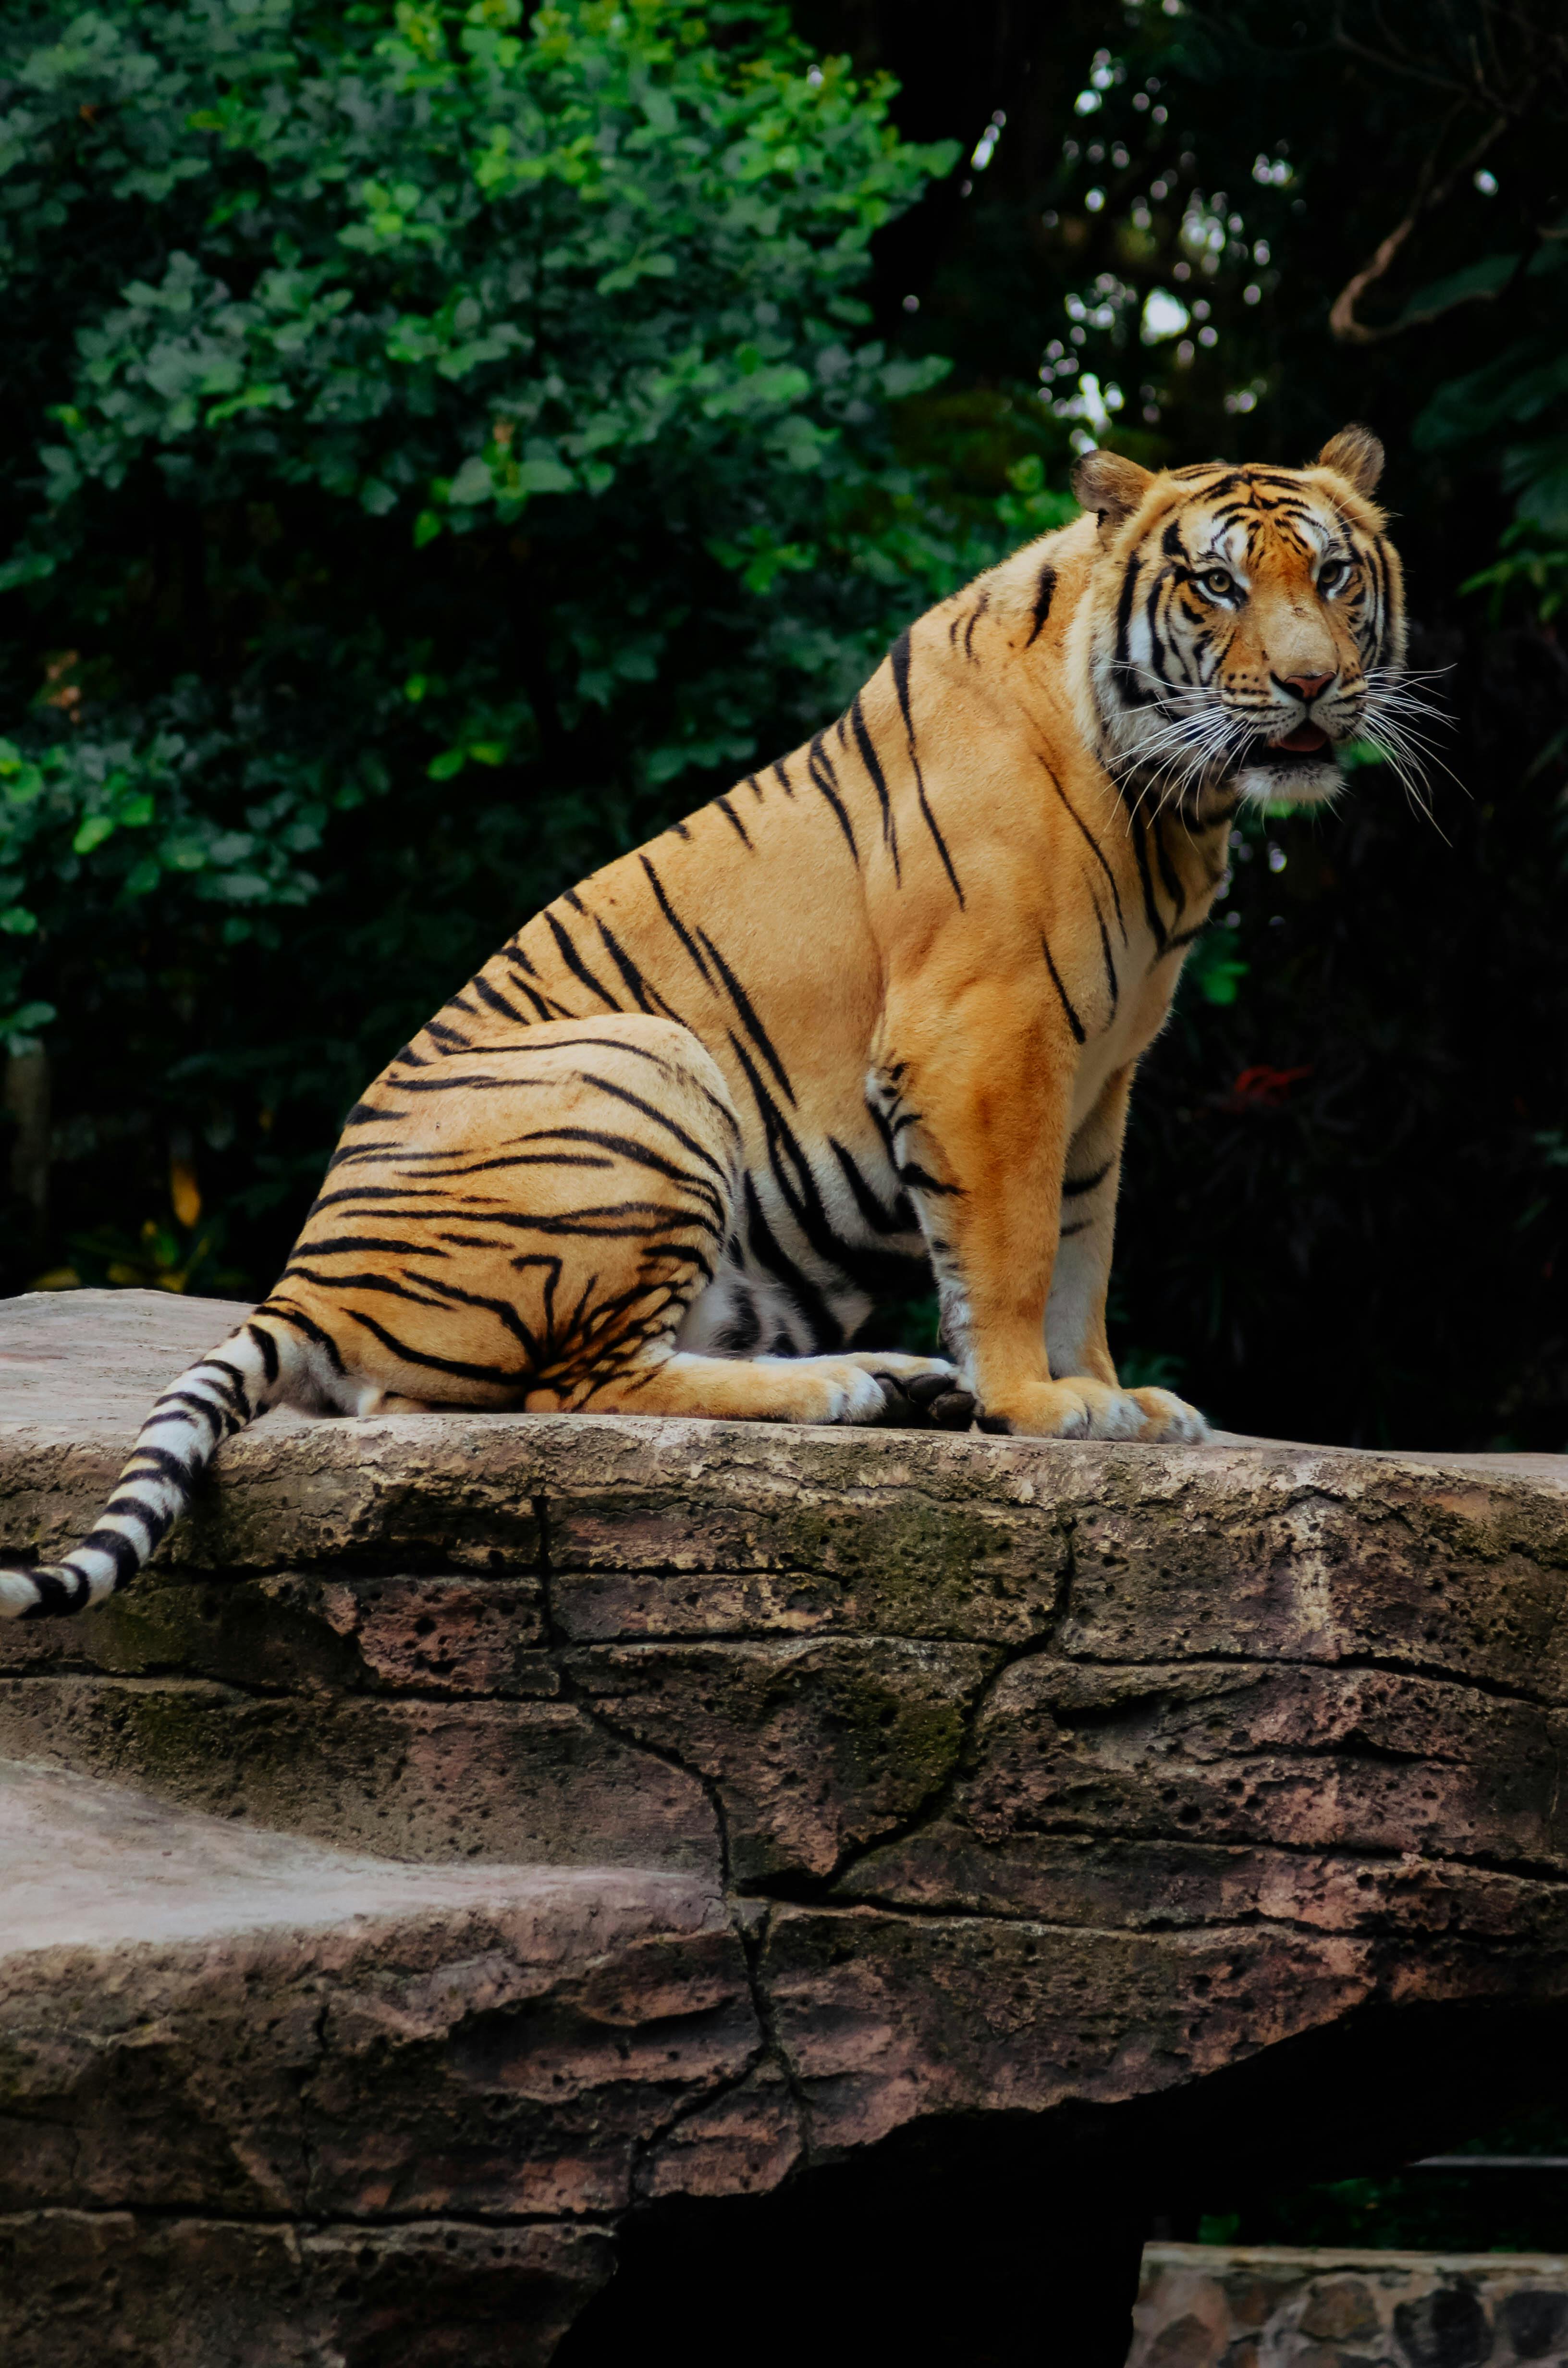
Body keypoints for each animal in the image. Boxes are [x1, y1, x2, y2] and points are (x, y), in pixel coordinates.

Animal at [3, 426, 1411, 1619]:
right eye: (1217, 587)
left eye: (1334, 575)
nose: (1311, 687)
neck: (1176, 811)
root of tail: (302, 1281)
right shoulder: (991, 1039)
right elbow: (1012, 1248)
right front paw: (1040, 1406)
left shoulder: (1102, 1074)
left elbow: (1080, 1245)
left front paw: (1112, 1397)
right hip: (649, 1060)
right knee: (567, 1388)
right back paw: (857, 1386)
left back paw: (901, 1385)